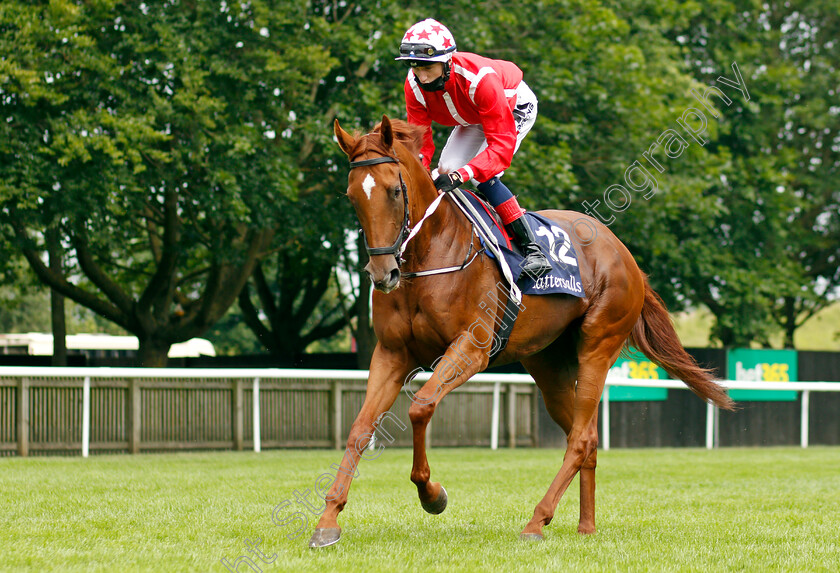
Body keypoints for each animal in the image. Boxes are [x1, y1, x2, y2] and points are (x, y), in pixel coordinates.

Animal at [310, 115, 736, 544]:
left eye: (395, 191)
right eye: (352, 197)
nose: (383, 274)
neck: (430, 253)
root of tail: (625, 254)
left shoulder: (471, 348)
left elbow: (420, 406)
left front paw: (432, 494)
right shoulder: (392, 353)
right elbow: (360, 428)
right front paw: (328, 520)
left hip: (599, 343)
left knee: (580, 438)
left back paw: (536, 521)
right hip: (548, 363)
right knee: (586, 437)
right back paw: (586, 526)